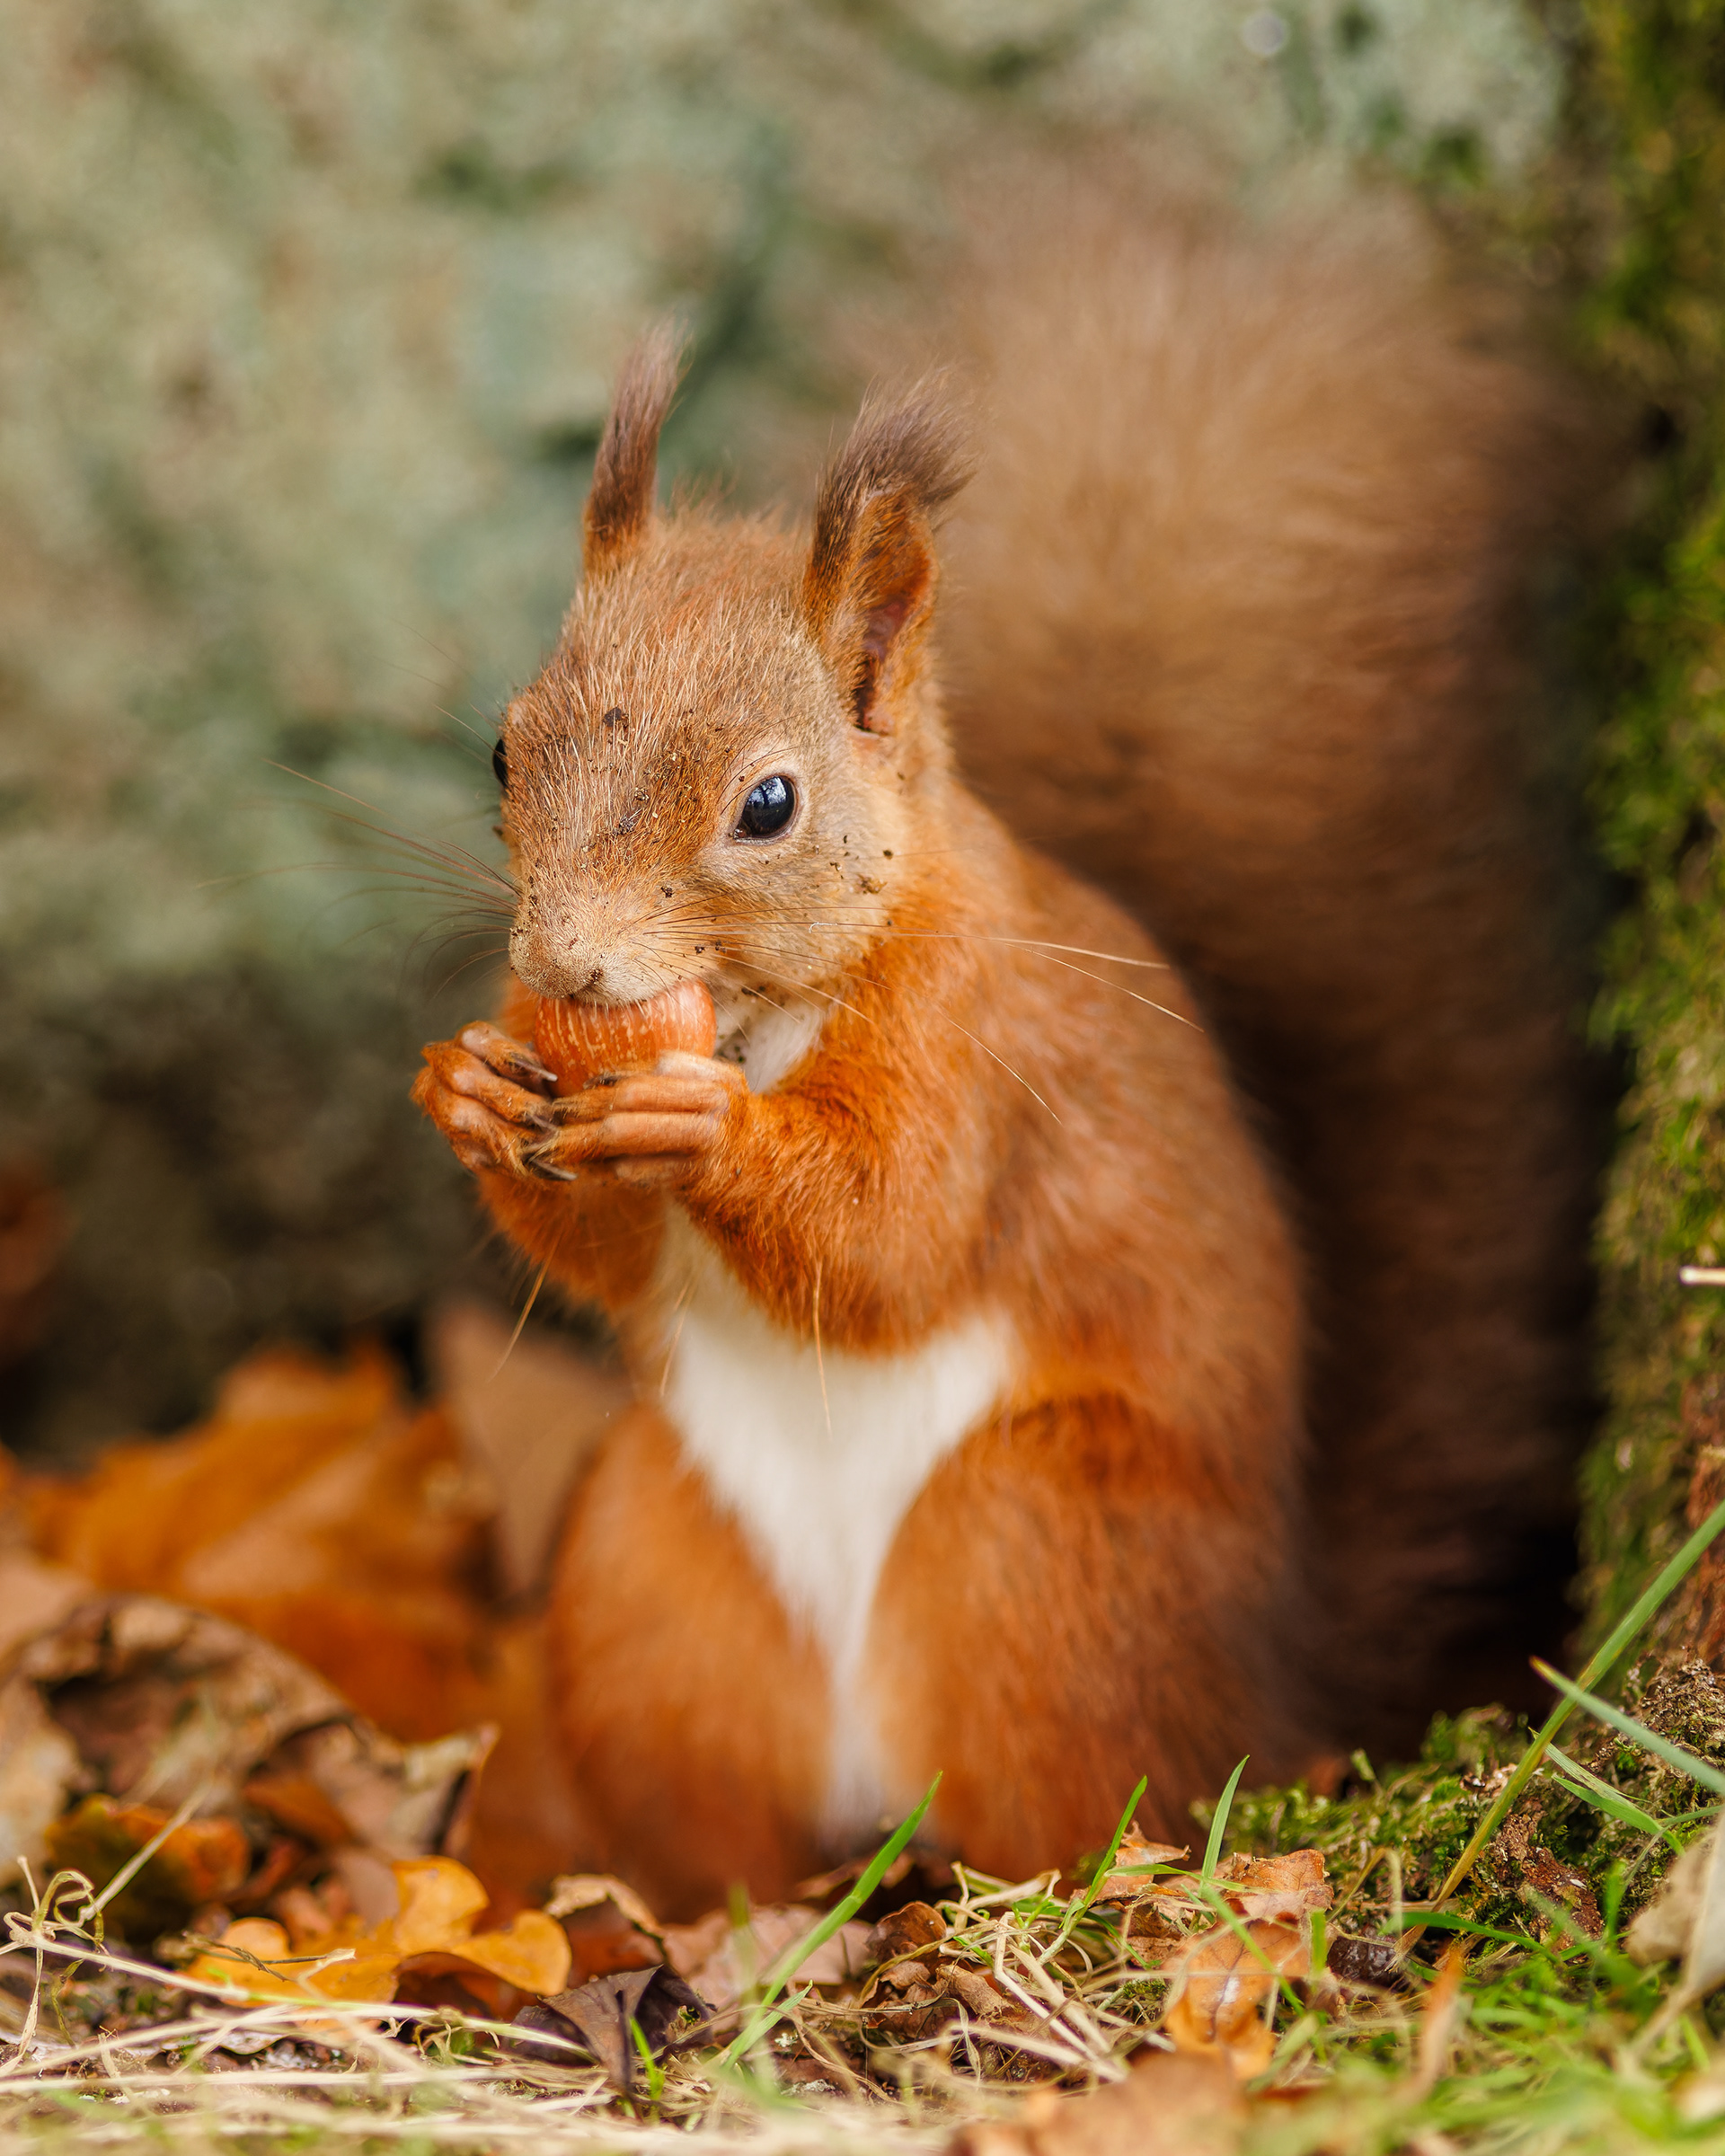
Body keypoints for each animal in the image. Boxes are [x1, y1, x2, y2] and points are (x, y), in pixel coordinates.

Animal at [412, 163, 1599, 1917]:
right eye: (505, 750)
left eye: (770, 803)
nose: (562, 962)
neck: (760, 1018)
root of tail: (1271, 1678)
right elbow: (613, 1264)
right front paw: (470, 1088)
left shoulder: (977, 1056)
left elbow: (892, 1234)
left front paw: (705, 1132)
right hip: (648, 1577)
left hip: (1027, 1550)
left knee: (1083, 1793)